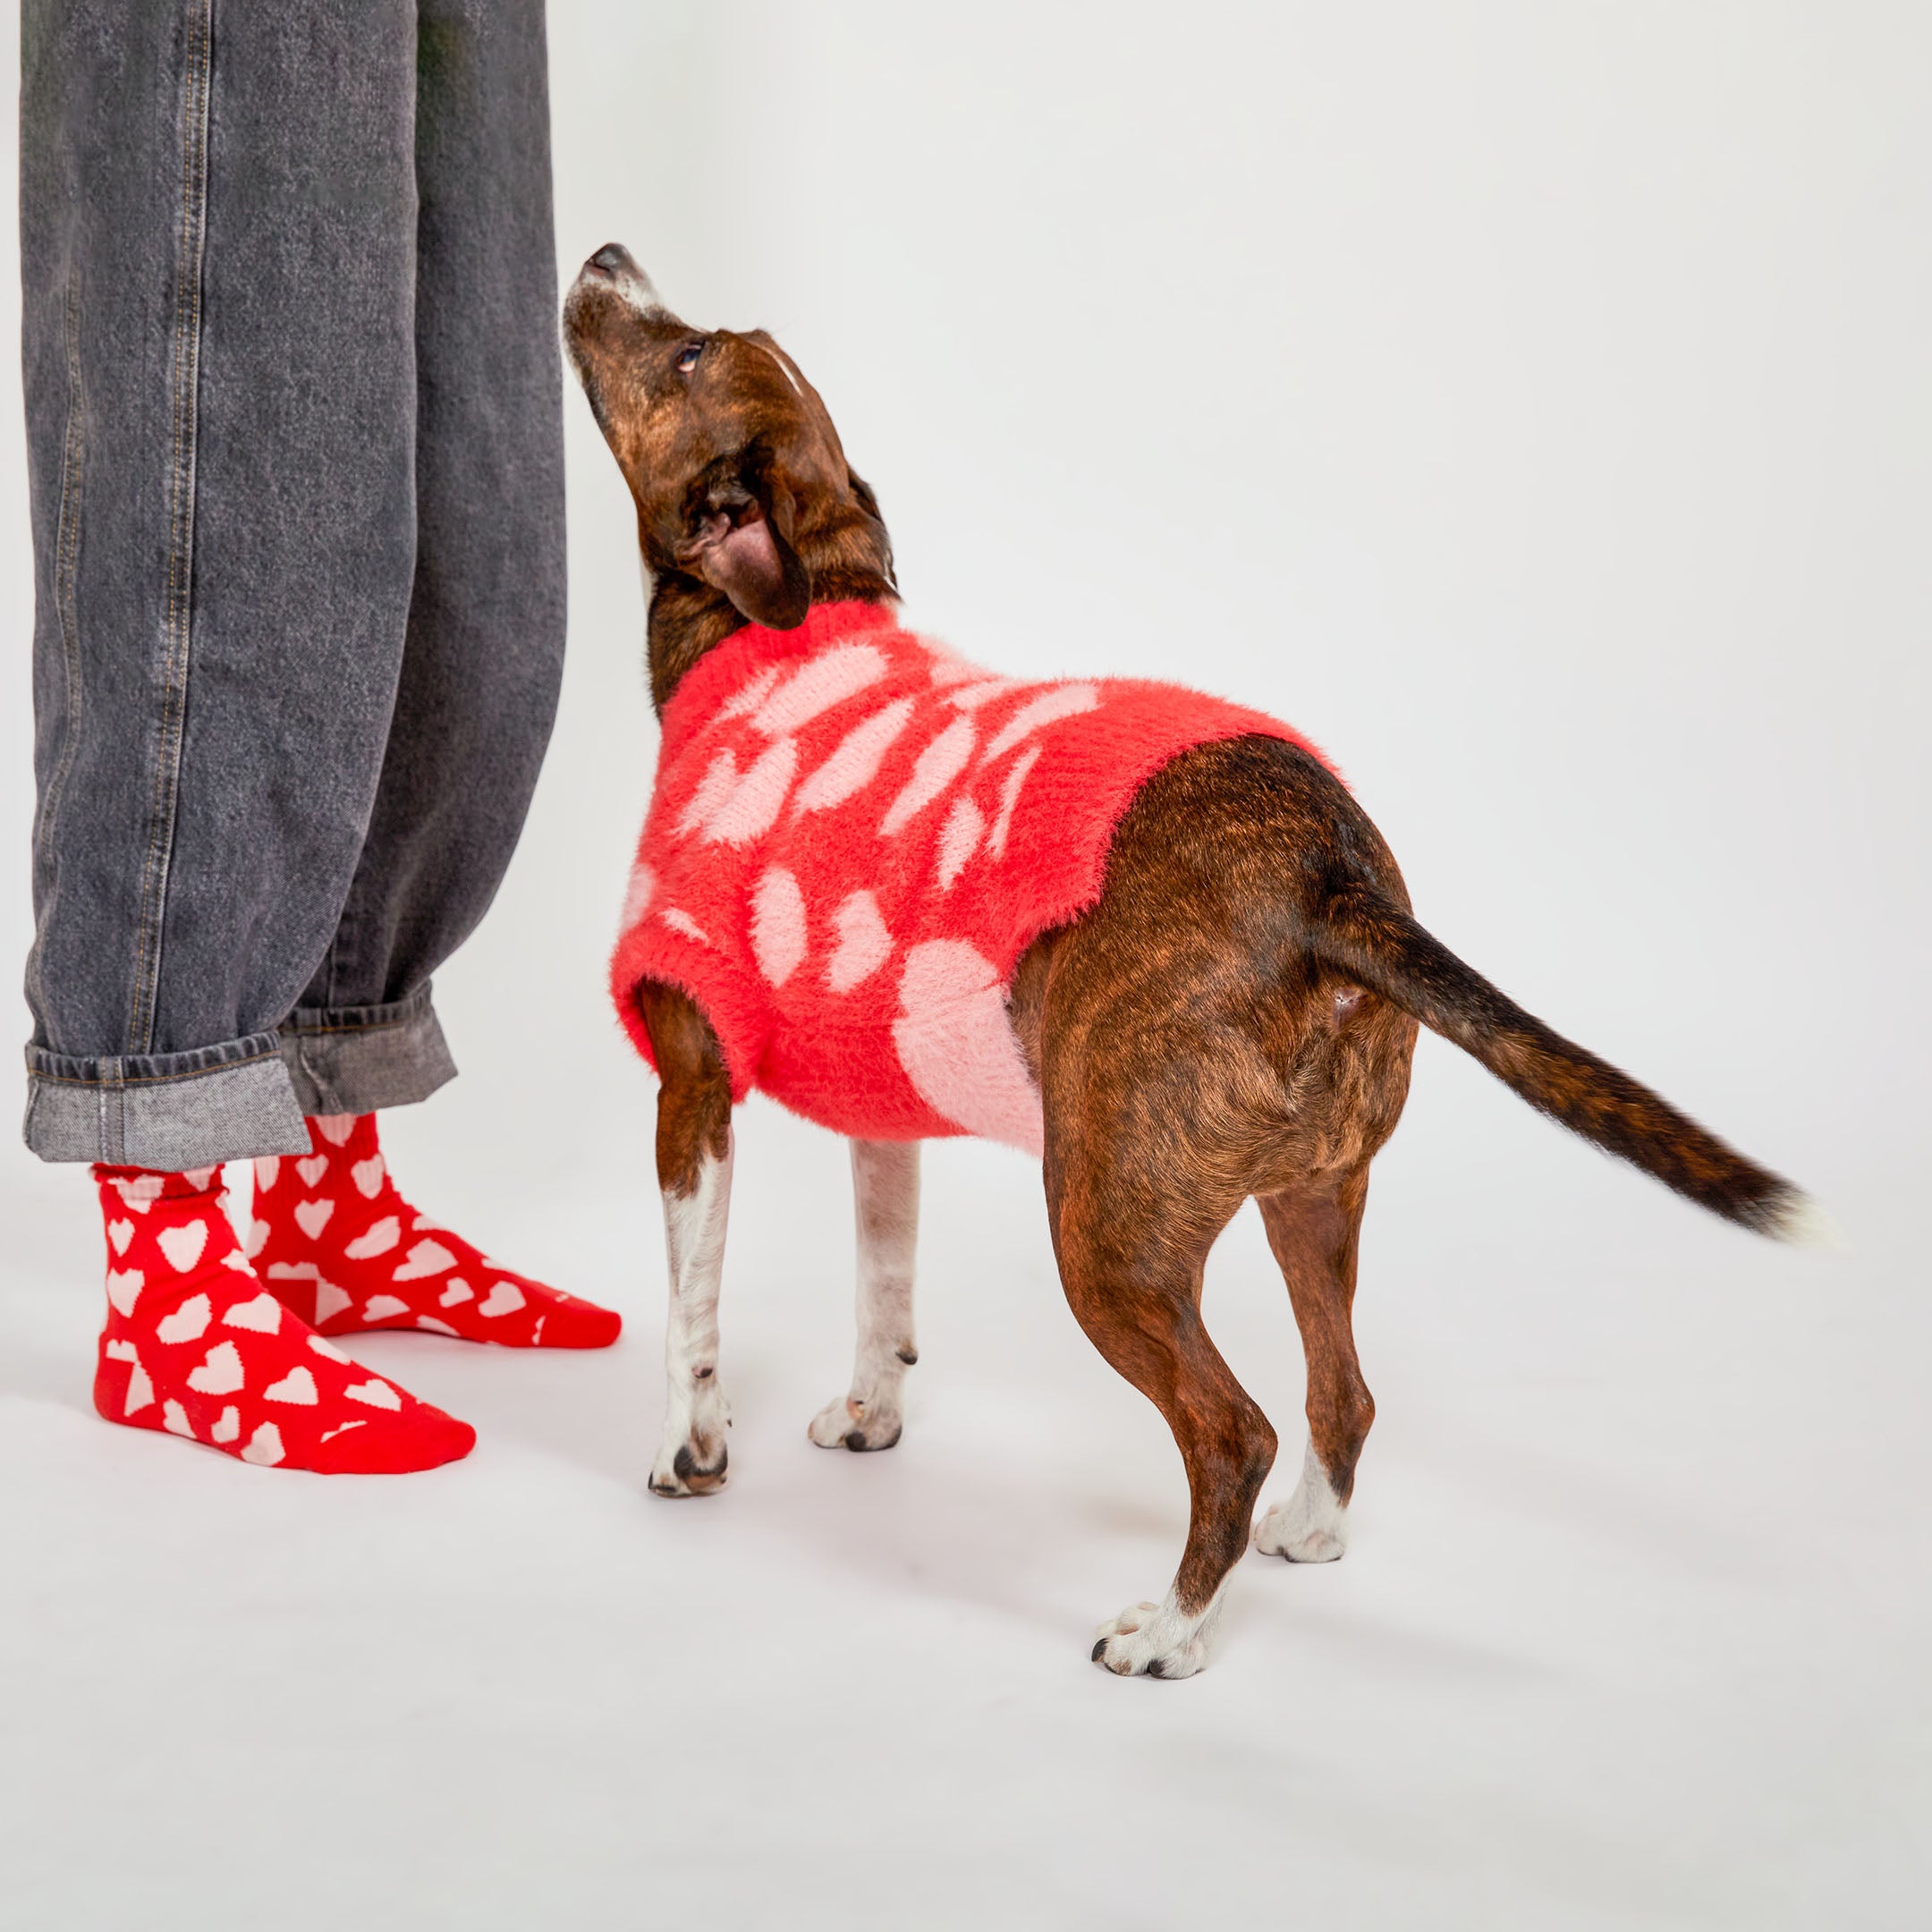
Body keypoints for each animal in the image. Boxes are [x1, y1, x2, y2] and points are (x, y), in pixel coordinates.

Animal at [564, 242, 1824, 1684]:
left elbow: (691, 1309)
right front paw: (873, 1413)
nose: (603, 256)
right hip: (1311, 1198)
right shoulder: (888, 1115)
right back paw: (1309, 1537)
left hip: (1107, 1234)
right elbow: (886, 1282)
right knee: (1343, 1389)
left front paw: (689, 1454)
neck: (786, 623)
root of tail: (1328, 879)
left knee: (1234, 1429)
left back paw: (1171, 1630)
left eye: (687, 356)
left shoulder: (692, 1086)